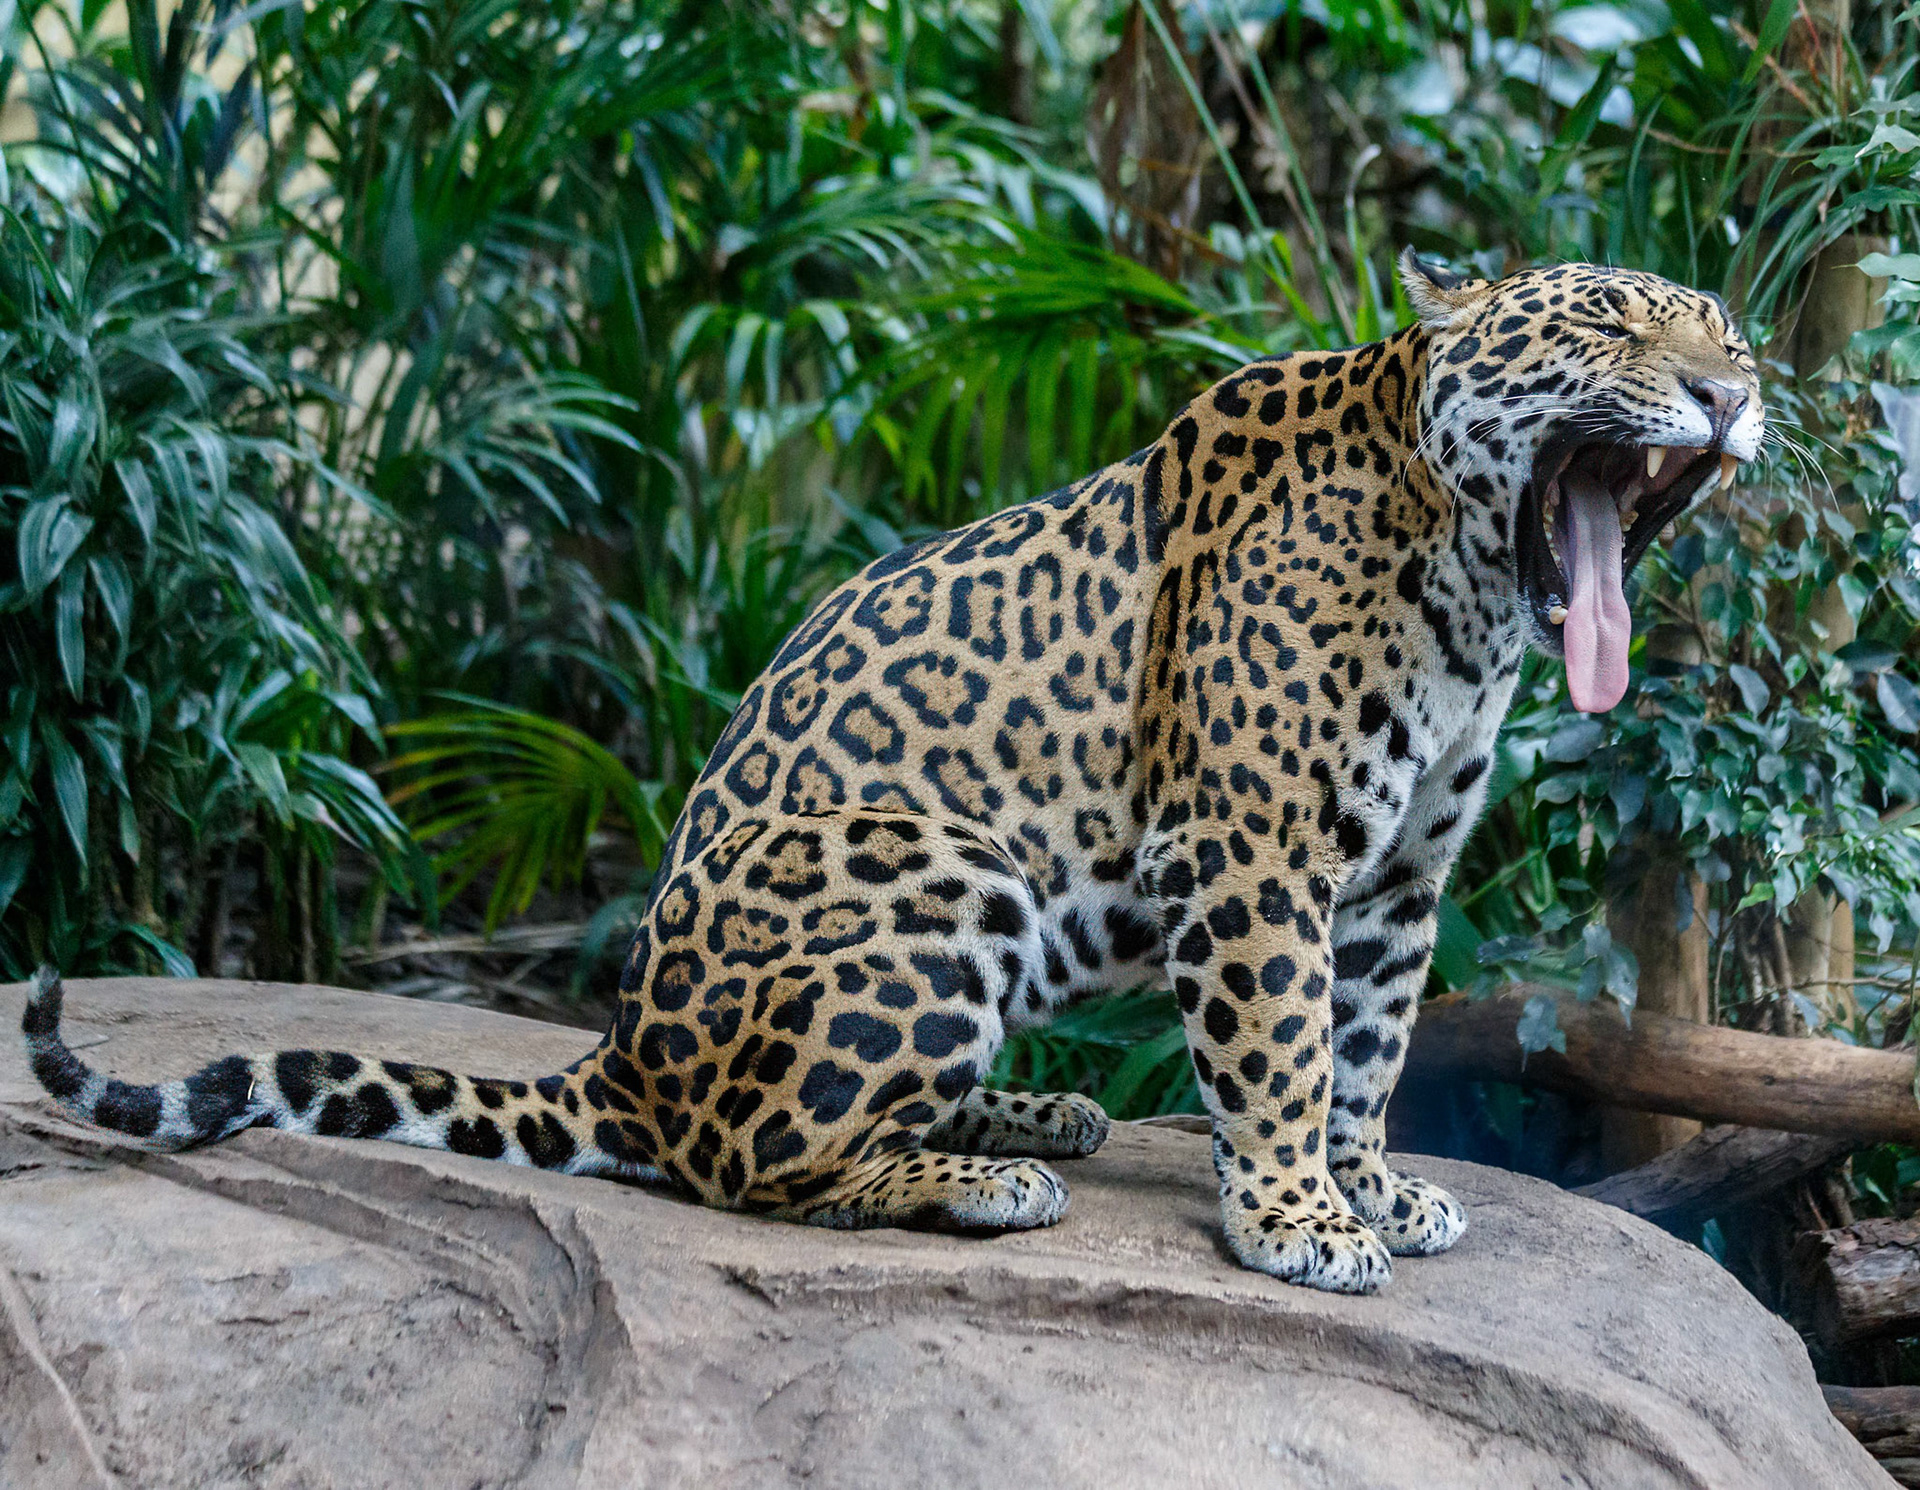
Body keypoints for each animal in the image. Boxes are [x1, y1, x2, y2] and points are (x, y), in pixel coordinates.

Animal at [22, 251, 1763, 1294]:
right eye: (1609, 323)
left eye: (1729, 330)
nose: (1736, 394)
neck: (1463, 577)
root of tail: (621, 1050)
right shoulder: (1254, 855)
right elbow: (1276, 1044)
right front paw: (1292, 1222)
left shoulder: (1399, 881)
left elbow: (1369, 1045)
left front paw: (1368, 1187)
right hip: (940, 862)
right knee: (754, 1164)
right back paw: (983, 1180)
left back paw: (1034, 1112)